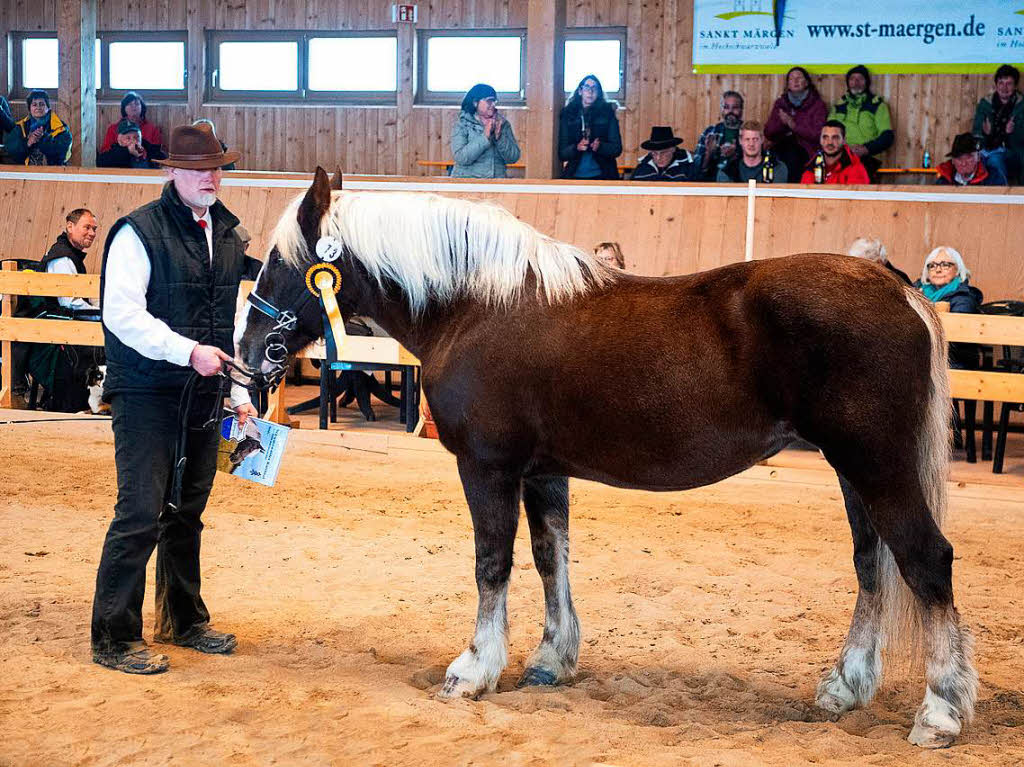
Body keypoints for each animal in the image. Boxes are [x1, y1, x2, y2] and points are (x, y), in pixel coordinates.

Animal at [235, 168, 978, 749]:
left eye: (278, 262)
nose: (247, 354)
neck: (476, 306)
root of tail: (897, 287)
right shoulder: (542, 471)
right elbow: (550, 558)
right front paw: (550, 660)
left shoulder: (488, 467)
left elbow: (491, 563)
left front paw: (473, 669)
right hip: (854, 472)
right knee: (872, 566)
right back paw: (845, 687)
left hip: (877, 466)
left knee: (925, 560)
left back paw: (939, 712)